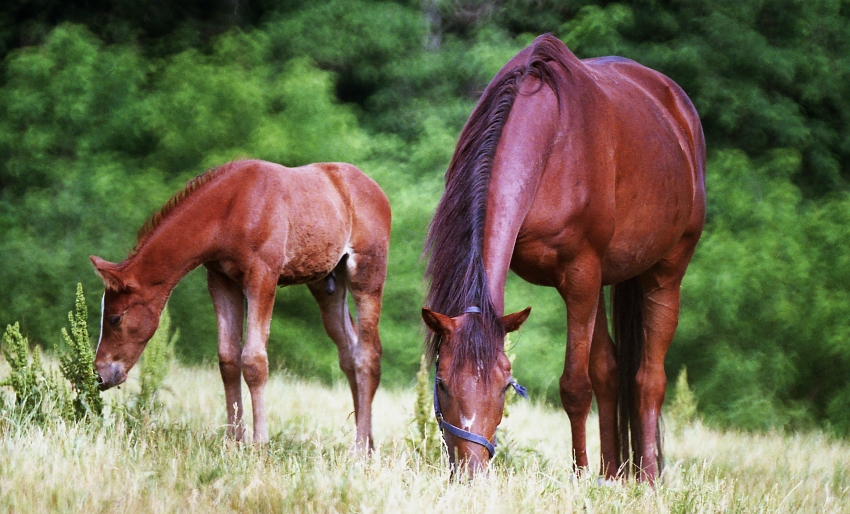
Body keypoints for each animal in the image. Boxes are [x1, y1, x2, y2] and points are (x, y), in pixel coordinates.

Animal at [88, 158, 388, 446]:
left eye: (114, 318)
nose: (100, 374)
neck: (230, 209)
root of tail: (375, 188)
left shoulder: (263, 276)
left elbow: (254, 360)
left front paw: (259, 443)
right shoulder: (221, 280)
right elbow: (228, 358)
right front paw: (234, 441)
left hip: (366, 275)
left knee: (368, 354)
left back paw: (359, 449)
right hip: (326, 285)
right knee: (349, 353)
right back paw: (369, 443)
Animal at [420, 34, 704, 478]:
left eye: (505, 386)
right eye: (442, 383)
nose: (471, 471)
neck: (548, 143)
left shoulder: (580, 273)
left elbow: (574, 385)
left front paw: (579, 476)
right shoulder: (586, 279)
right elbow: (597, 376)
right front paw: (593, 477)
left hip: (665, 271)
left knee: (647, 380)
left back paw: (647, 480)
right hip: (602, 280)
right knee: (610, 372)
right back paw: (613, 475)